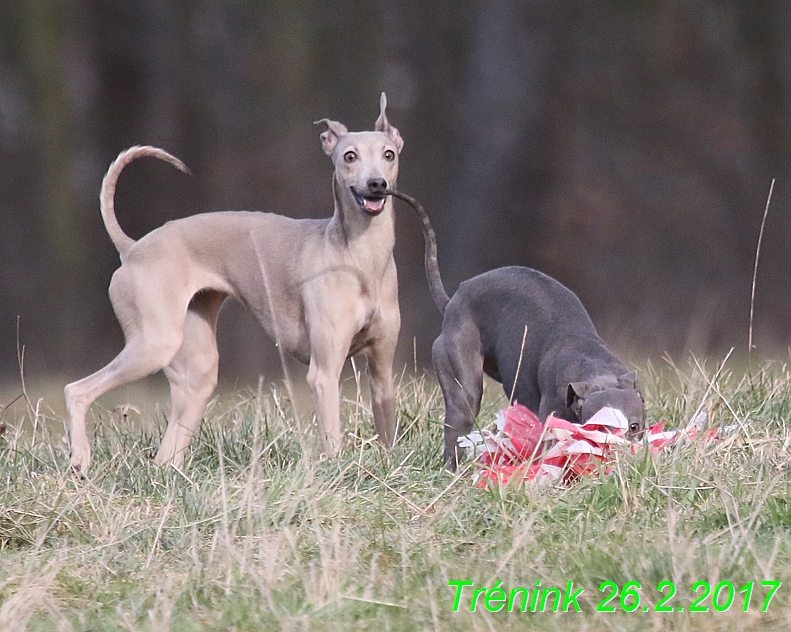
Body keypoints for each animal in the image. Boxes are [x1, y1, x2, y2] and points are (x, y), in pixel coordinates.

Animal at [386, 191, 648, 470]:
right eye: (598, 428)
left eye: (634, 426)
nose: (619, 459)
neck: (593, 365)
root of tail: (452, 301)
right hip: (463, 385)